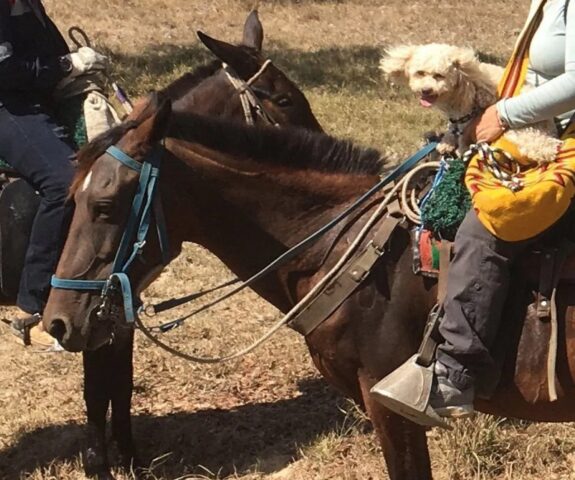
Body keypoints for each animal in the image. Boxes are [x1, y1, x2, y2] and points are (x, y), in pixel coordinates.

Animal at [10, 11, 324, 480]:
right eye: (284, 100)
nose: (317, 147)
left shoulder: (113, 313)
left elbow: (116, 389)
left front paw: (129, 461)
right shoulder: (91, 310)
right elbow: (97, 392)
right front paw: (101, 465)